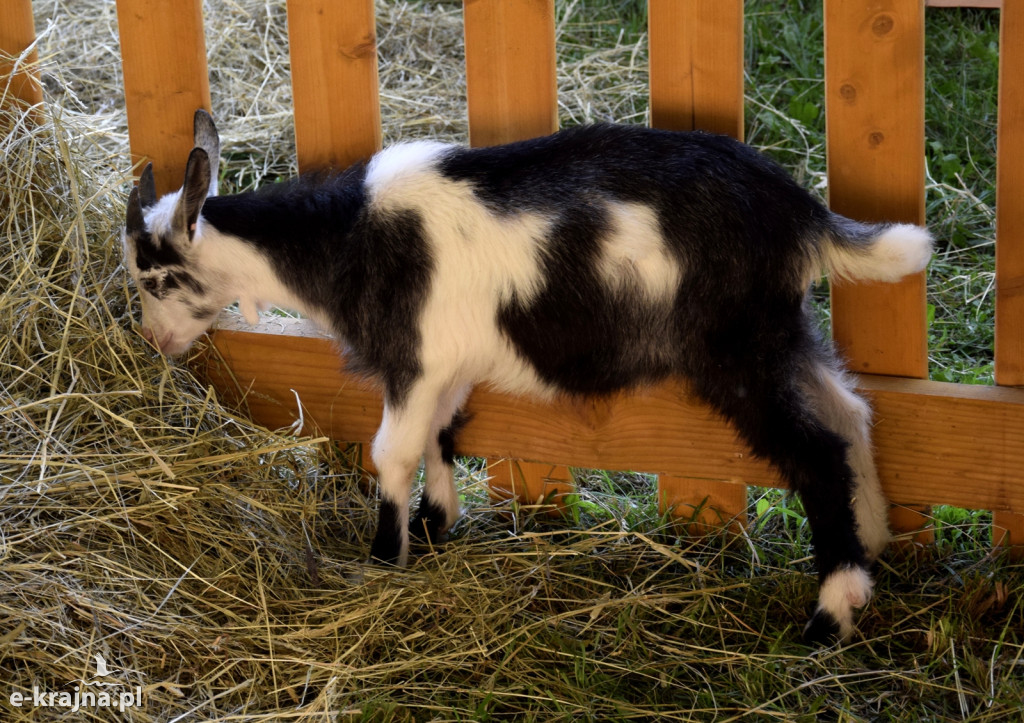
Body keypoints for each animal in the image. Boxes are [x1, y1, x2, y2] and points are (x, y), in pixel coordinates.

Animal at [123, 108, 933, 643]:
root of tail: (799, 213)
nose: (153, 341)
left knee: (817, 452)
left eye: (157, 278)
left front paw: (386, 558)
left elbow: (393, 452)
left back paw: (830, 612)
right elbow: (442, 437)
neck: (345, 237)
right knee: (852, 413)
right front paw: (435, 525)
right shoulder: (446, 365)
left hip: (736, 349)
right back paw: (874, 544)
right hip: (779, 331)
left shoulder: (413, 357)